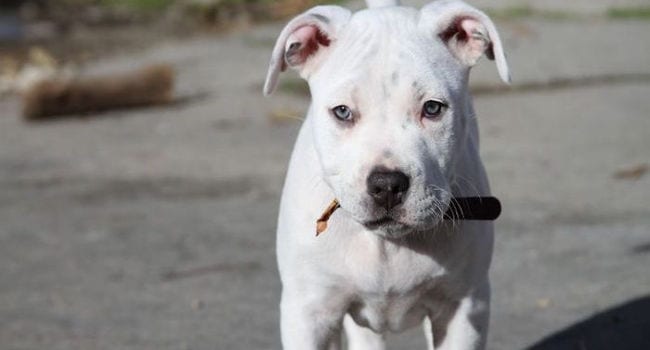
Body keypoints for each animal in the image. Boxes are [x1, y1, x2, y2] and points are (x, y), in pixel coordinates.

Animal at [262, 1, 506, 348]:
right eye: (342, 112)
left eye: (433, 108)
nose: (387, 185)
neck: (387, 244)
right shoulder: (308, 312)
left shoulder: (464, 307)